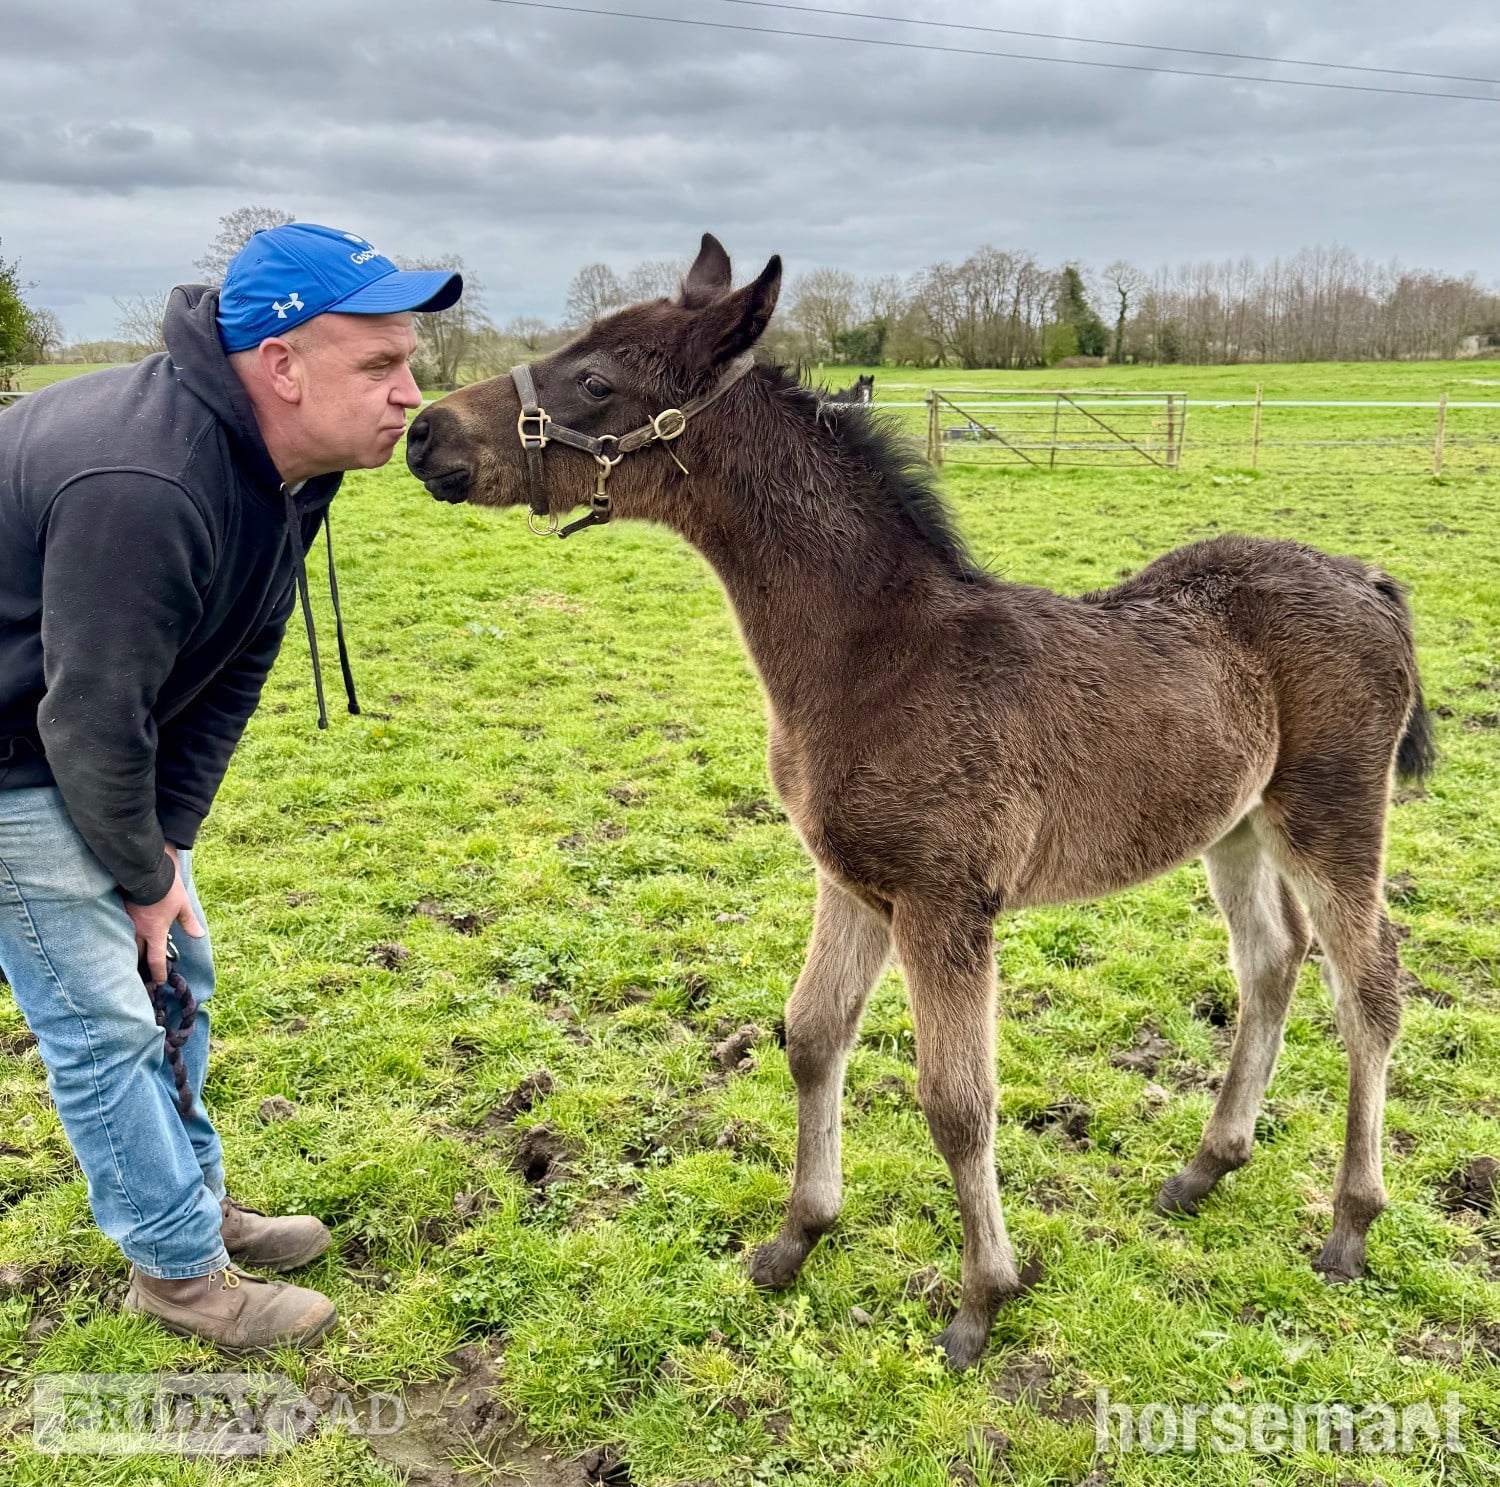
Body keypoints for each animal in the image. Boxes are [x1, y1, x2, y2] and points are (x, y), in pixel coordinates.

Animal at [406, 234, 1434, 1368]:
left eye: (596, 379)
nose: (423, 432)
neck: (874, 655)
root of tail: (1372, 579)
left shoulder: (946, 902)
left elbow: (956, 1101)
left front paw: (982, 1299)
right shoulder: (853, 879)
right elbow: (813, 1035)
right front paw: (795, 1238)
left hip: (1333, 809)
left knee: (1369, 983)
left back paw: (1349, 1223)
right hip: (1238, 821)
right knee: (1271, 958)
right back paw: (1207, 1165)